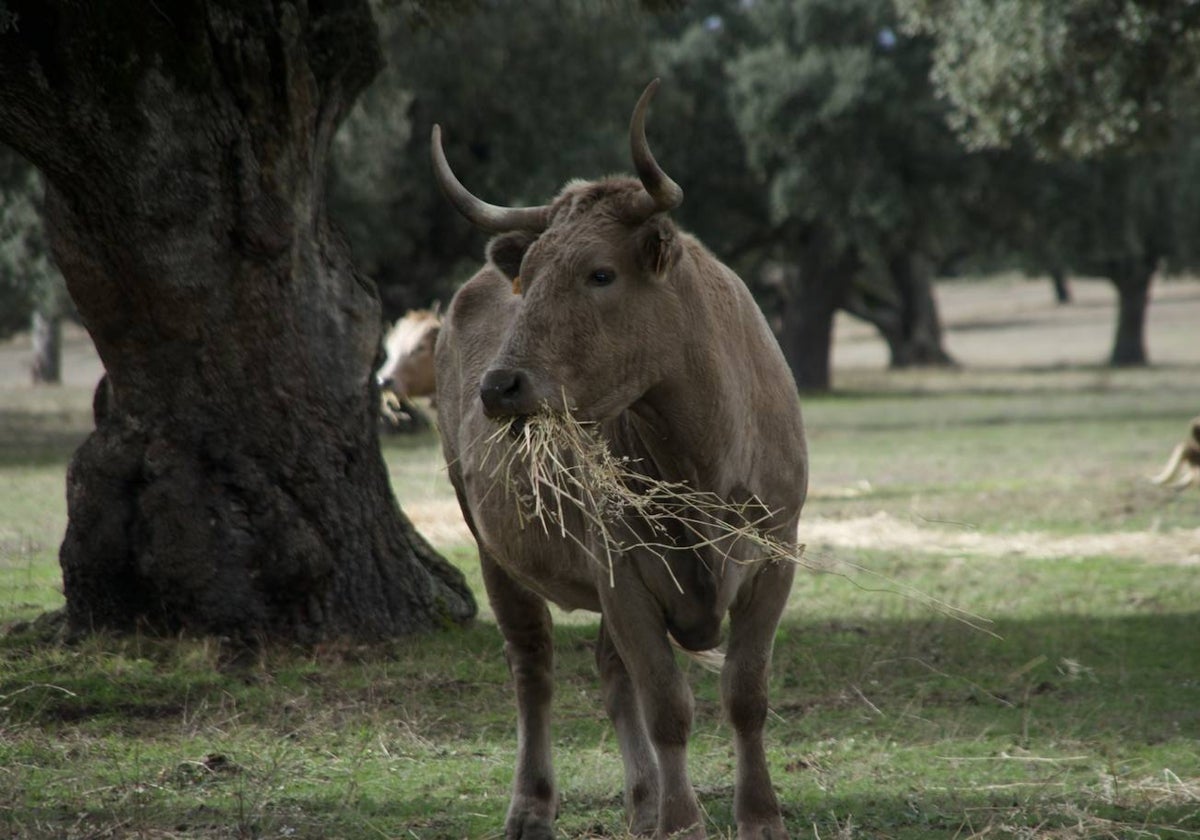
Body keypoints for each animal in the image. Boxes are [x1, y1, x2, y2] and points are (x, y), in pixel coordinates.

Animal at [432, 80, 806, 840]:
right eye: (529, 277)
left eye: (600, 273)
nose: (498, 386)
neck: (703, 451)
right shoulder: (622, 572)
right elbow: (667, 704)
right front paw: (685, 822)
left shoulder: (774, 556)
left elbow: (745, 694)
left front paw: (757, 816)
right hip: (491, 547)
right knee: (534, 668)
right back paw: (533, 805)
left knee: (609, 672)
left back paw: (643, 801)